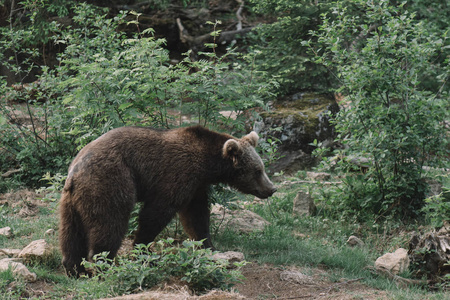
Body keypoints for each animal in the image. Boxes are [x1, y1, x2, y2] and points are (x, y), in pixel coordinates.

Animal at [58, 125, 276, 276]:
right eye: (257, 170)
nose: (271, 189)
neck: (207, 164)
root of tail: (75, 172)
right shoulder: (176, 173)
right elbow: (157, 213)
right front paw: (143, 250)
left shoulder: (195, 186)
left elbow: (197, 217)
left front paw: (209, 245)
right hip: (110, 183)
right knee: (109, 224)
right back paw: (105, 266)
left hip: (71, 200)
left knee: (71, 232)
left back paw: (75, 269)